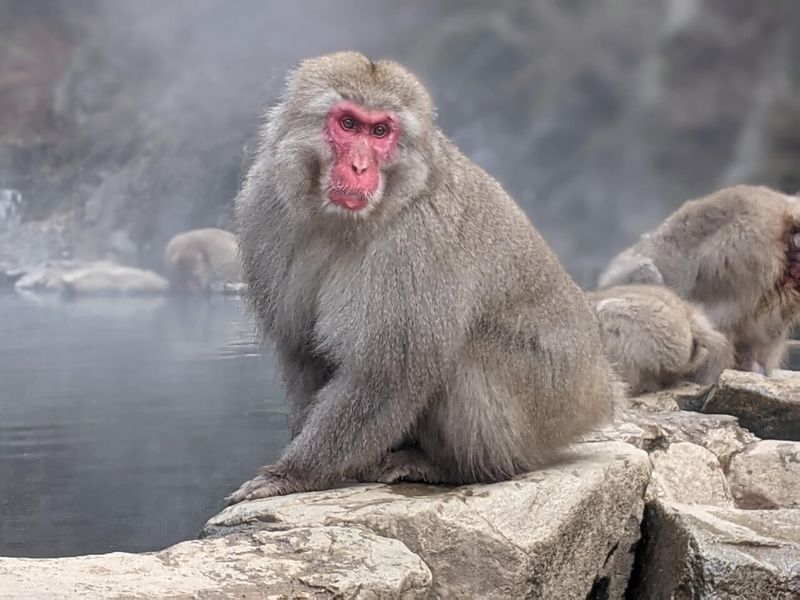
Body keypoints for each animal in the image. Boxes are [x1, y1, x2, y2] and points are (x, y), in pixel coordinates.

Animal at [228, 51, 616, 504]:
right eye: (348, 124)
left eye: (380, 131)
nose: (359, 166)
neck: (342, 221)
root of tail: (600, 388)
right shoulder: (264, 205)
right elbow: (302, 351)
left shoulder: (417, 239)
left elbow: (388, 373)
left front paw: (293, 473)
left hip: (547, 402)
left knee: (459, 356)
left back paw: (458, 468)